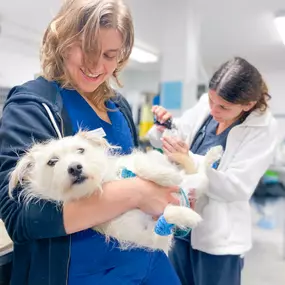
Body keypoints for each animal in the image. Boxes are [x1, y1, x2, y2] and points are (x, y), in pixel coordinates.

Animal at [8, 130, 222, 252]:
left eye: (80, 150)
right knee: (203, 175)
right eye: (52, 162)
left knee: (199, 172)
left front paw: (167, 176)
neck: (104, 183)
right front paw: (188, 216)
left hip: (195, 180)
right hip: (198, 184)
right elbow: (166, 219)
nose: (75, 167)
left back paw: (213, 154)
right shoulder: (149, 237)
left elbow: (142, 163)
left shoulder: (145, 159)